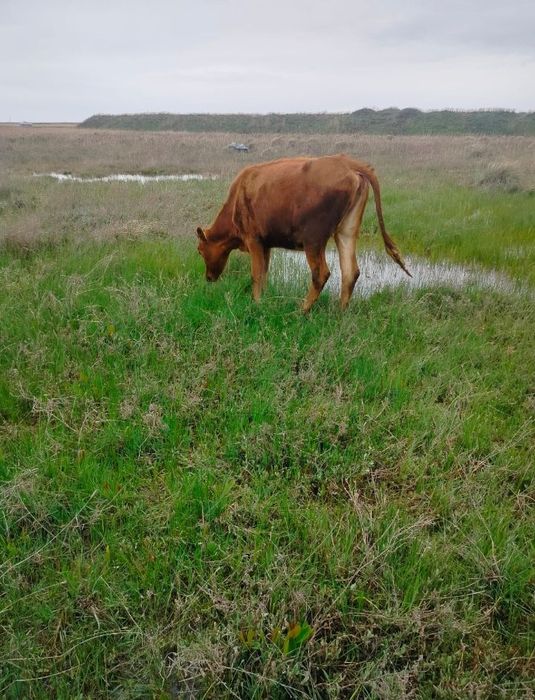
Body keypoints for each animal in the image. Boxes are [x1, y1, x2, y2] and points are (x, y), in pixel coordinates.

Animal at [196, 154, 411, 312]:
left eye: (200, 250)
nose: (208, 278)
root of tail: (347, 162)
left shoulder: (253, 239)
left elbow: (256, 274)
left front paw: (255, 303)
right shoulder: (266, 244)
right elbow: (264, 273)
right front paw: (263, 299)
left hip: (313, 239)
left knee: (321, 273)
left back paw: (302, 311)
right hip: (346, 232)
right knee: (350, 271)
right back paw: (340, 313)